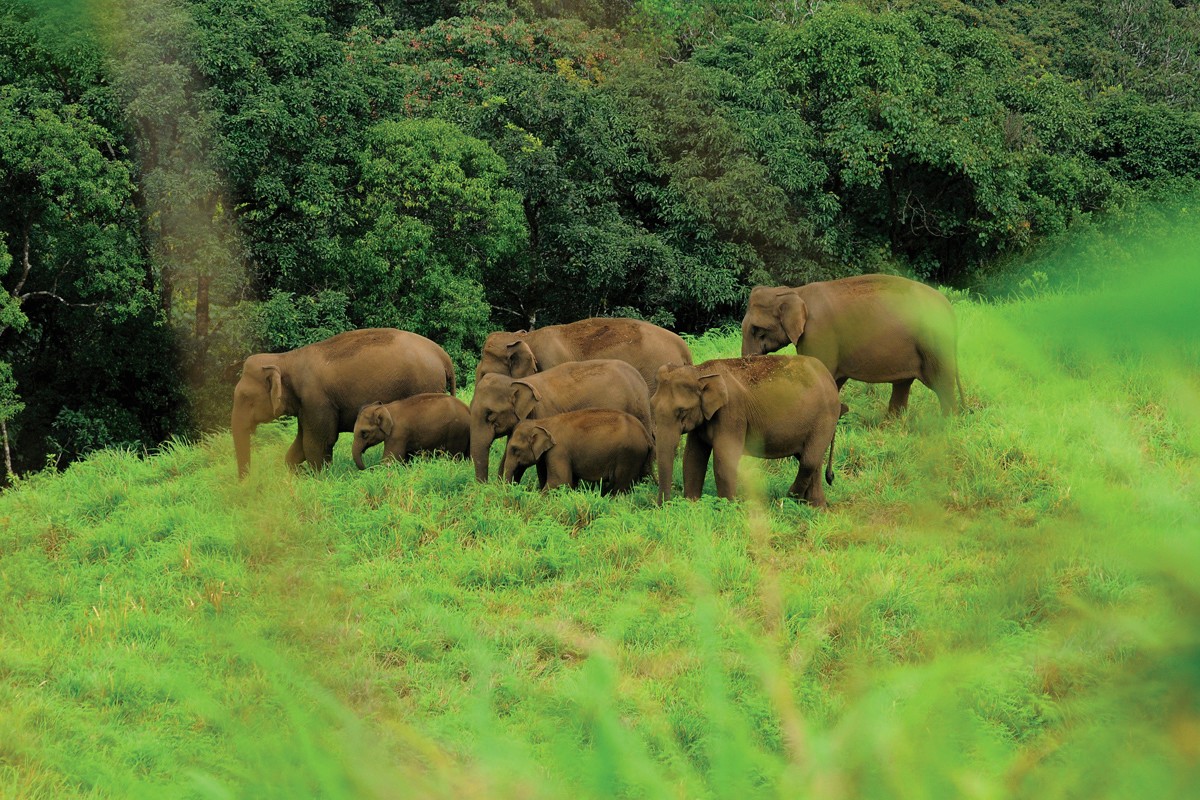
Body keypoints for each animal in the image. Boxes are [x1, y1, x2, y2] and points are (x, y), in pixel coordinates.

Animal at [232, 328, 455, 478]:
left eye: (245, 397)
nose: (246, 484)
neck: (285, 359)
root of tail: (443, 355)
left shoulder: (317, 400)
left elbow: (317, 443)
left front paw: (318, 479)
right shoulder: (306, 406)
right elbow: (301, 444)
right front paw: (300, 474)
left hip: (425, 384)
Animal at [501, 409, 654, 494]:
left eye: (514, 449)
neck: (542, 422)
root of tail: (645, 434)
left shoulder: (558, 451)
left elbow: (560, 481)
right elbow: (570, 482)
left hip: (629, 455)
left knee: (620, 486)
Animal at [653, 356, 843, 506]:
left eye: (681, 411)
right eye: (652, 404)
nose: (664, 506)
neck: (701, 371)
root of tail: (829, 377)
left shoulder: (732, 412)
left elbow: (724, 459)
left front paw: (728, 508)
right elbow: (693, 458)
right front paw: (692, 506)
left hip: (825, 417)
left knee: (809, 460)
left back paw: (789, 499)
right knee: (812, 460)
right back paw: (816, 507)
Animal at [741, 274, 961, 415]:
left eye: (756, 329)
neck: (796, 291)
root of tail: (949, 307)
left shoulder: (818, 333)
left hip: (934, 344)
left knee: (942, 383)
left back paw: (946, 426)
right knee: (903, 384)